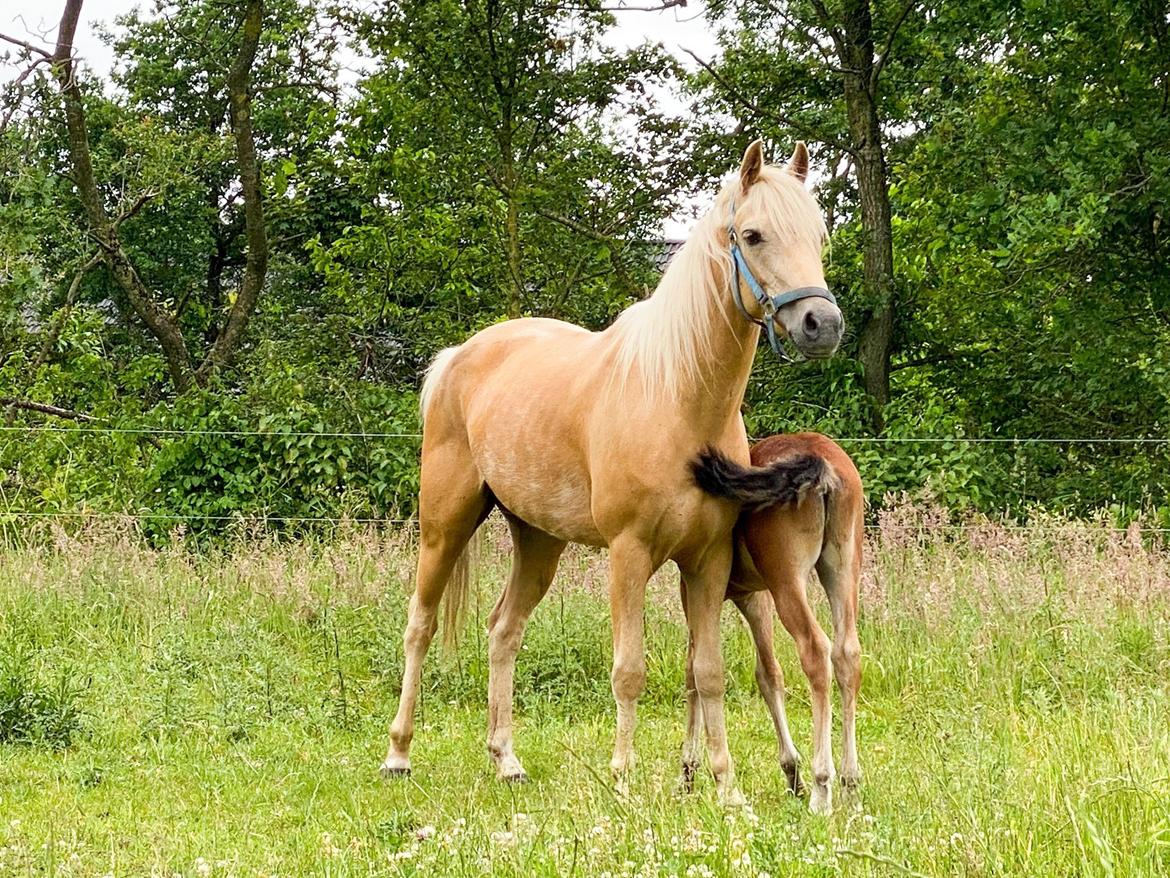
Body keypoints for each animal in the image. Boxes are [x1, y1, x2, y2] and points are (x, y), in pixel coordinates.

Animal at [381, 141, 844, 805]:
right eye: (753, 235)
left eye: (819, 235)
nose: (821, 325)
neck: (675, 399)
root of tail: (458, 358)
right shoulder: (629, 554)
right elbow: (629, 671)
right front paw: (624, 780)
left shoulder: (708, 563)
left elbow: (708, 672)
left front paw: (726, 788)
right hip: (444, 525)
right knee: (419, 626)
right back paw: (398, 754)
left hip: (538, 542)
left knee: (503, 631)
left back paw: (506, 760)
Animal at [690, 432, 863, 814]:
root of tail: (820, 460)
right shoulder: (755, 597)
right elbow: (768, 674)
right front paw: (790, 771)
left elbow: (694, 674)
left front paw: (687, 774)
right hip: (843, 568)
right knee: (847, 653)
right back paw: (851, 786)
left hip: (789, 581)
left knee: (816, 650)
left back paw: (821, 788)